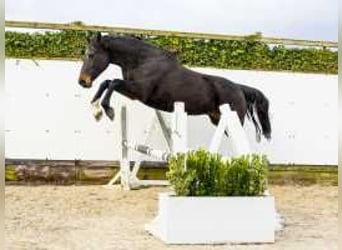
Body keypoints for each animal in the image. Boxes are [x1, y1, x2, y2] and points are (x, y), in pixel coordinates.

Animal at [79, 32, 272, 141]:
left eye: (91, 55)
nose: (82, 81)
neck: (142, 61)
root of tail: (239, 88)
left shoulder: (139, 92)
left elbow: (113, 82)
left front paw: (107, 111)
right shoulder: (133, 92)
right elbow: (107, 82)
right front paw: (96, 110)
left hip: (233, 119)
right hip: (217, 119)